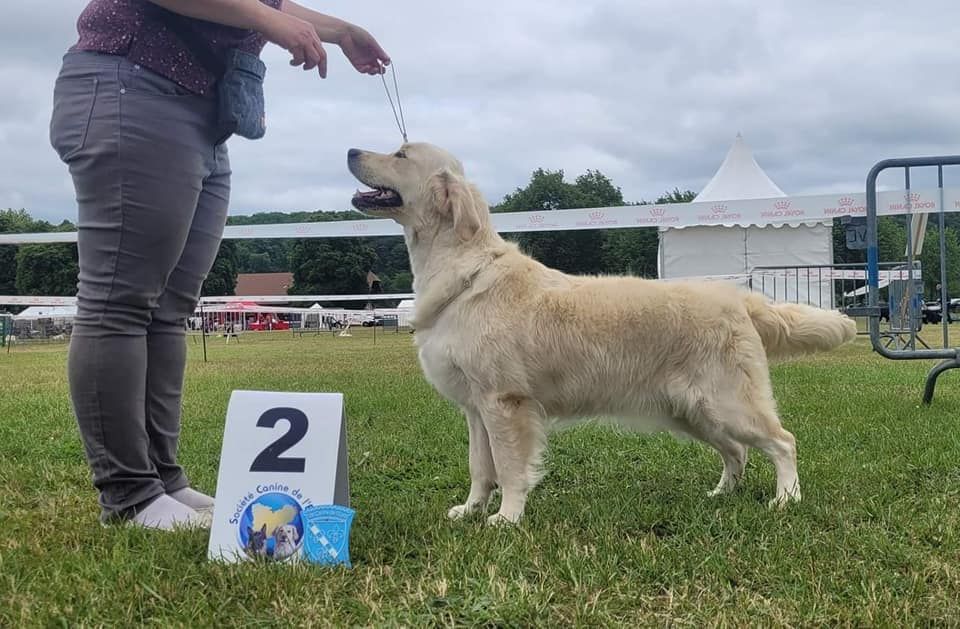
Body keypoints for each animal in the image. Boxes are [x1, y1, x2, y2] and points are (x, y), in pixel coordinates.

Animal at [348, 141, 860, 524]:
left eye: (400, 154)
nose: (351, 150)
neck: (462, 271)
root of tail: (739, 298)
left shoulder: (505, 403)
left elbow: (510, 469)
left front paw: (507, 518)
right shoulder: (476, 409)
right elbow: (480, 467)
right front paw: (471, 510)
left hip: (727, 402)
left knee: (782, 441)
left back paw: (785, 499)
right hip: (692, 412)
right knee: (736, 453)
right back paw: (721, 494)